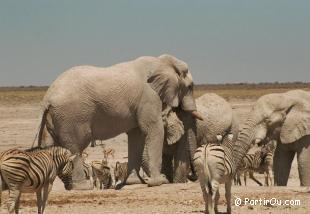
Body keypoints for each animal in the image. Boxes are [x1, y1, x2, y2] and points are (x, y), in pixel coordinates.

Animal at [37, 54, 203, 188]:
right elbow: (153, 130)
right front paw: (159, 182)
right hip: (72, 116)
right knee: (76, 148)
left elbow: (136, 136)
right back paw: (82, 187)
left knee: (52, 147)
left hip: (56, 118)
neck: (162, 62)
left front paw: (134, 182)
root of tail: (47, 97)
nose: (192, 176)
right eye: (190, 87)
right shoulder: (149, 97)